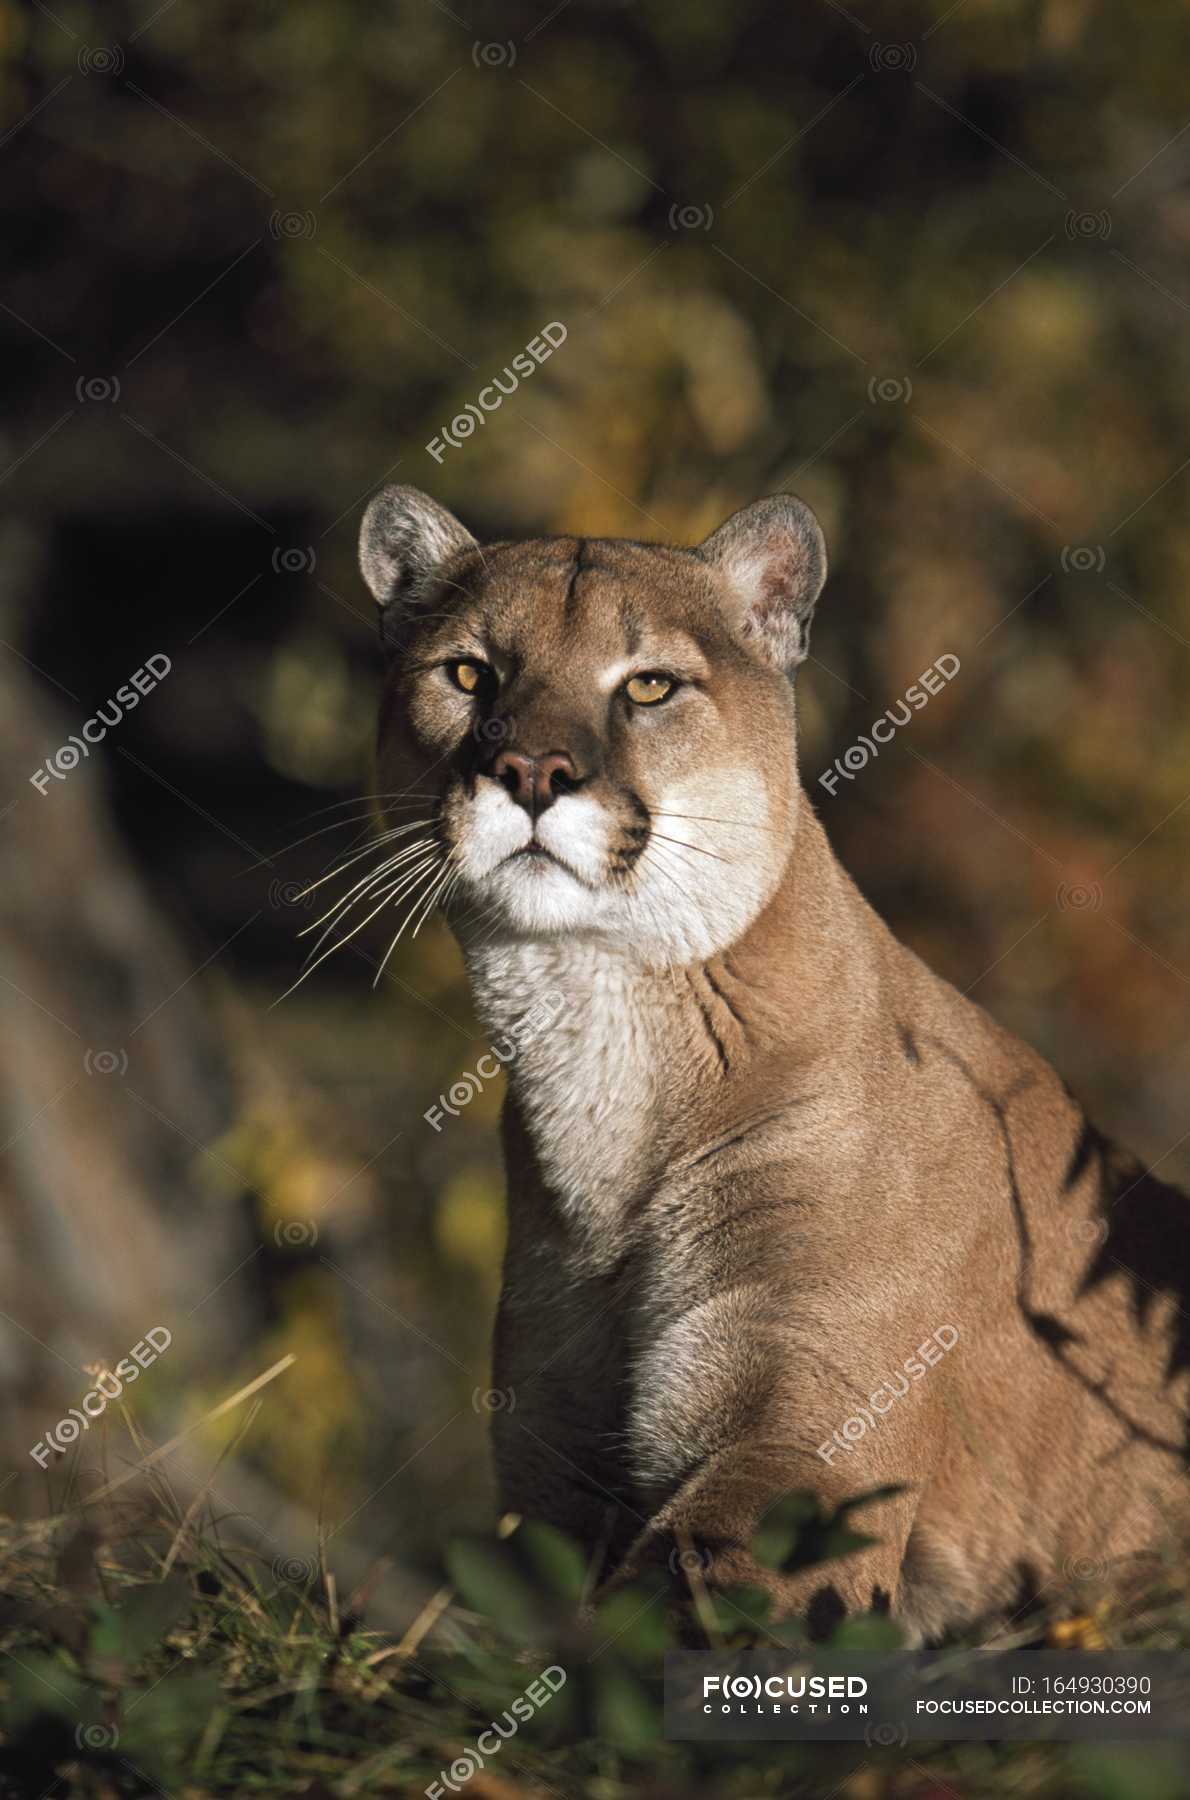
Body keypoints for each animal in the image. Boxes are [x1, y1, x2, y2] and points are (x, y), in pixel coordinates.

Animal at [358, 486, 1180, 1641]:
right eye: (470, 673)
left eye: (648, 685)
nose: (528, 774)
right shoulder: (546, 1474)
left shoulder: (807, 1427)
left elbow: (707, 1584)